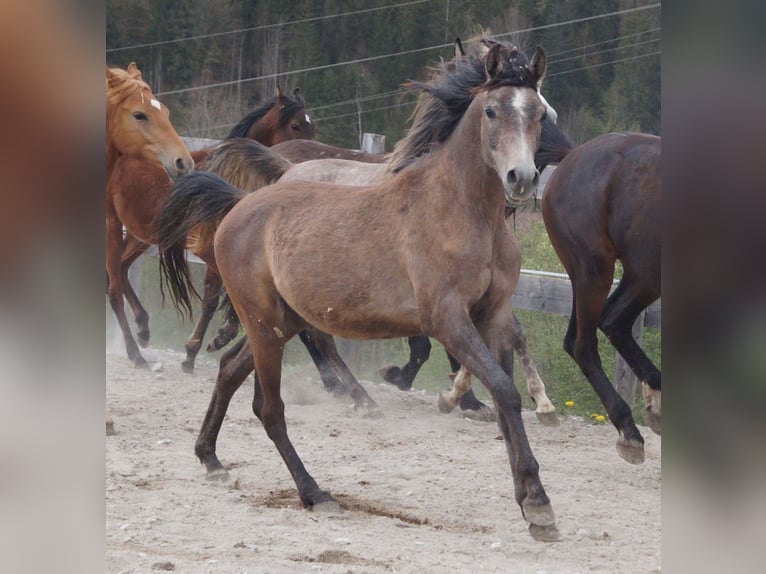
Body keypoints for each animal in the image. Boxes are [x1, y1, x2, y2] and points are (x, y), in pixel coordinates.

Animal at [159, 42, 560, 544]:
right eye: (490, 111)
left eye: (539, 113)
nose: (519, 178)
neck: (464, 212)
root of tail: (239, 203)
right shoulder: (448, 318)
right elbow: (504, 391)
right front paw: (539, 503)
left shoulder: (496, 316)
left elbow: (506, 398)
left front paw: (529, 498)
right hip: (265, 323)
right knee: (268, 406)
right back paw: (316, 492)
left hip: (282, 322)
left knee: (231, 369)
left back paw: (211, 458)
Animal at [544, 133, 664, 466]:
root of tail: (572, 156)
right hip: (594, 267)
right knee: (585, 345)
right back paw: (630, 431)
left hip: (640, 274)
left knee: (612, 322)